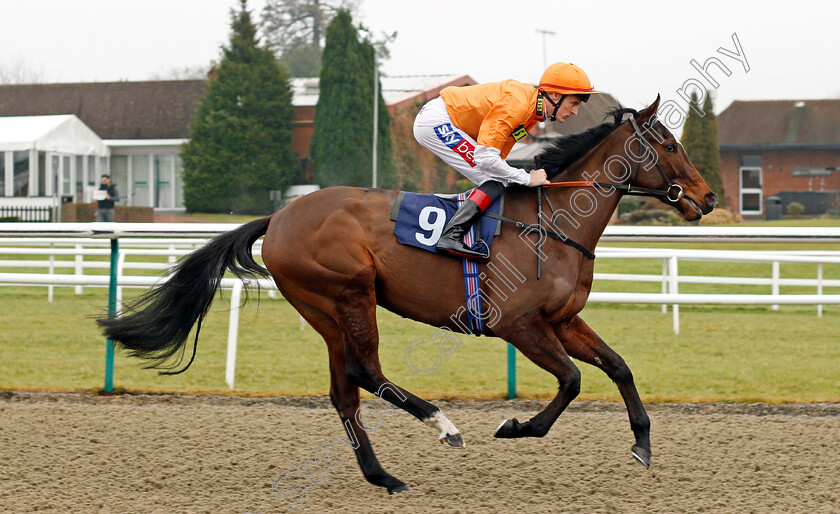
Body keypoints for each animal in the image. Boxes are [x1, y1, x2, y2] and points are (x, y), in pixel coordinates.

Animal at [98, 96, 716, 492]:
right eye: (668, 144)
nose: (708, 198)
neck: (553, 219)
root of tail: (280, 216)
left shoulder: (562, 321)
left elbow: (619, 367)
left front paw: (642, 445)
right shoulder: (519, 325)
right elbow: (572, 380)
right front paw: (516, 426)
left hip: (324, 310)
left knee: (344, 391)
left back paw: (383, 477)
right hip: (349, 293)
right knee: (366, 372)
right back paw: (443, 426)